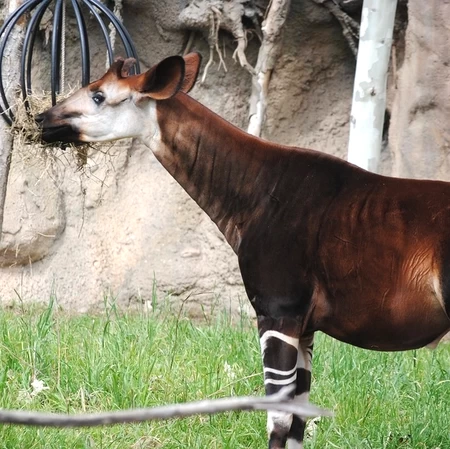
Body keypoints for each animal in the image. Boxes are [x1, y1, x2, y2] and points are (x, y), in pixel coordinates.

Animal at [36, 53, 450, 449]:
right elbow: (298, 421)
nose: (41, 119)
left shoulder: (277, 312)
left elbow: (277, 421)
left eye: (98, 95)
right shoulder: (304, 325)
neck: (259, 192)